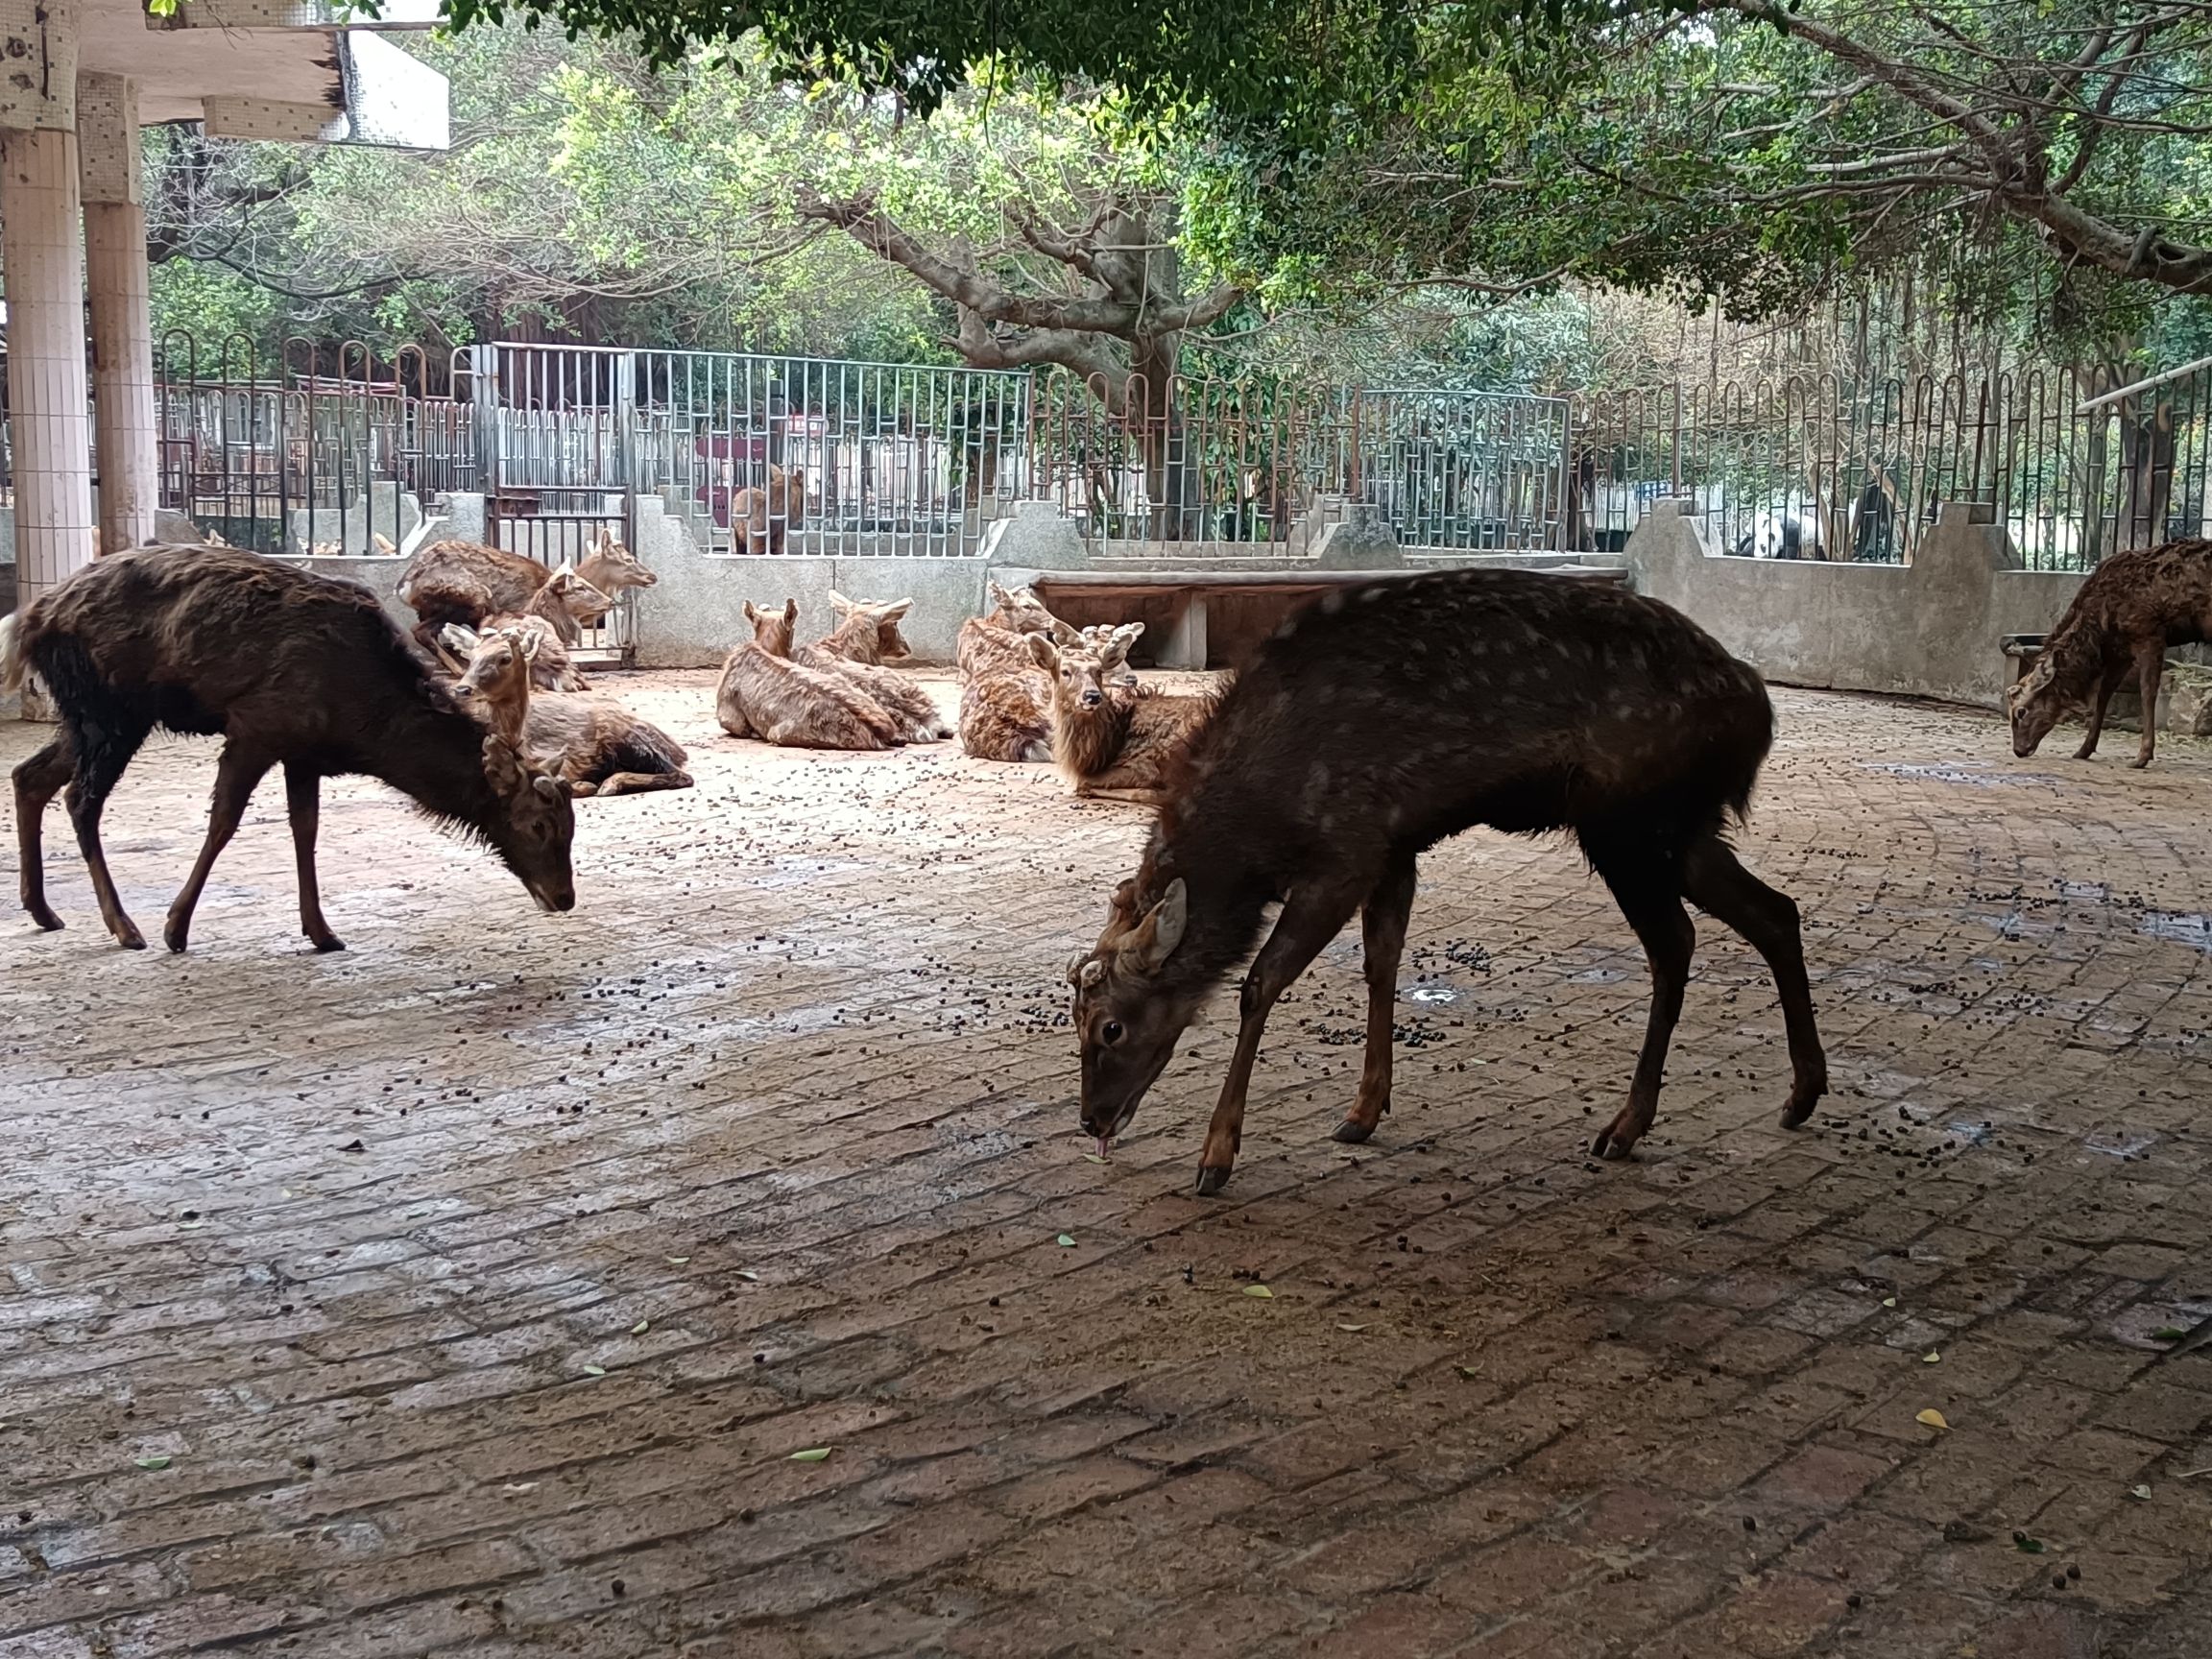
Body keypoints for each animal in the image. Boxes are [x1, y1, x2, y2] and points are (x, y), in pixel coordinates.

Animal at [2, 544, 576, 954]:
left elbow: (306, 830)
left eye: (570, 825)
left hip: (94, 713)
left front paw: (321, 931)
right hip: (109, 710)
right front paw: (176, 926)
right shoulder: (258, 727)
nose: (565, 897)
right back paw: (123, 926)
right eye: (538, 825)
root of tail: (30, 620)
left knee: (30, 775)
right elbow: (223, 822)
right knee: (81, 799)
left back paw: (44, 911)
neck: (363, 721)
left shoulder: (304, 752)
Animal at [444, 624, 693, 796]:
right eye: (471, 657)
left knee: (681, 775)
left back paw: (610, 784)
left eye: (505, 658)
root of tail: (678, 749)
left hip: (630, 741)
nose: (463, 689)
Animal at [1064, 569, 1827, 1196]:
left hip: (1629, 824)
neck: (1256, 826)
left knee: (1677, 942)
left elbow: (1261, 983)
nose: (1092, 1119)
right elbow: (1381, 962)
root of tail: (1758, 709)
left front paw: (1217, 1156)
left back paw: (1626, 1126)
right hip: (1681, 831)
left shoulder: (1346, 847)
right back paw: (1802, 1094)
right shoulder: (1395, 848)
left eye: (1110, 1027)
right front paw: (1363, 1110)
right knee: (1775, 911)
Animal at [2008, 537, 2212, 769]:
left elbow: (2147, 692)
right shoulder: (2121, 650)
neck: (2098, 627)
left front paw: (2142, 756)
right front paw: (2083, 750)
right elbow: (2104, 693)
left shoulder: (2148, 633)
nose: (2018, 750)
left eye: (2020, 711)